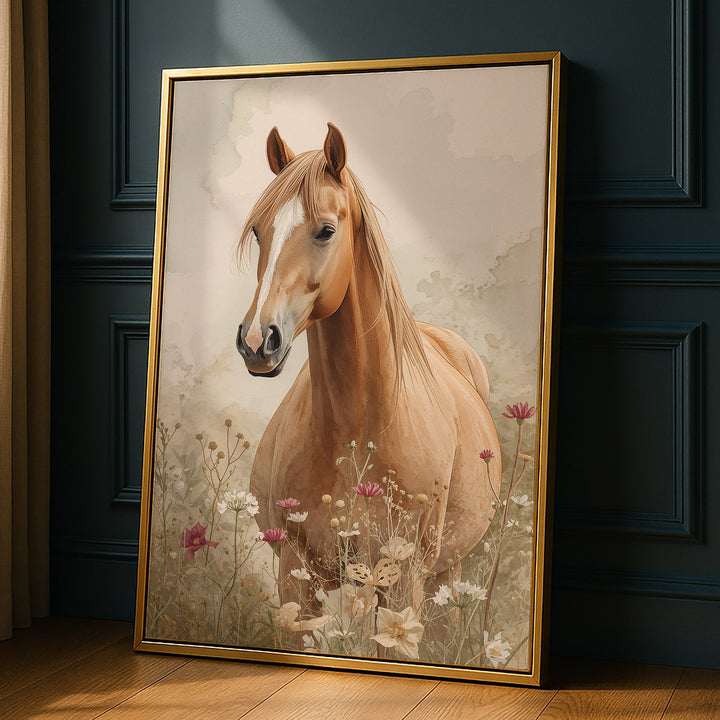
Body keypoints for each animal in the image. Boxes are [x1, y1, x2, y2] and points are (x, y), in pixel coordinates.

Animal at [235, 123, 502, 612]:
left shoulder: (402, 580)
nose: (256, 341)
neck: (358, 429)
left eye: (325, 231)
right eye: (260, 232)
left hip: (442, 576)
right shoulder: (296, 575)